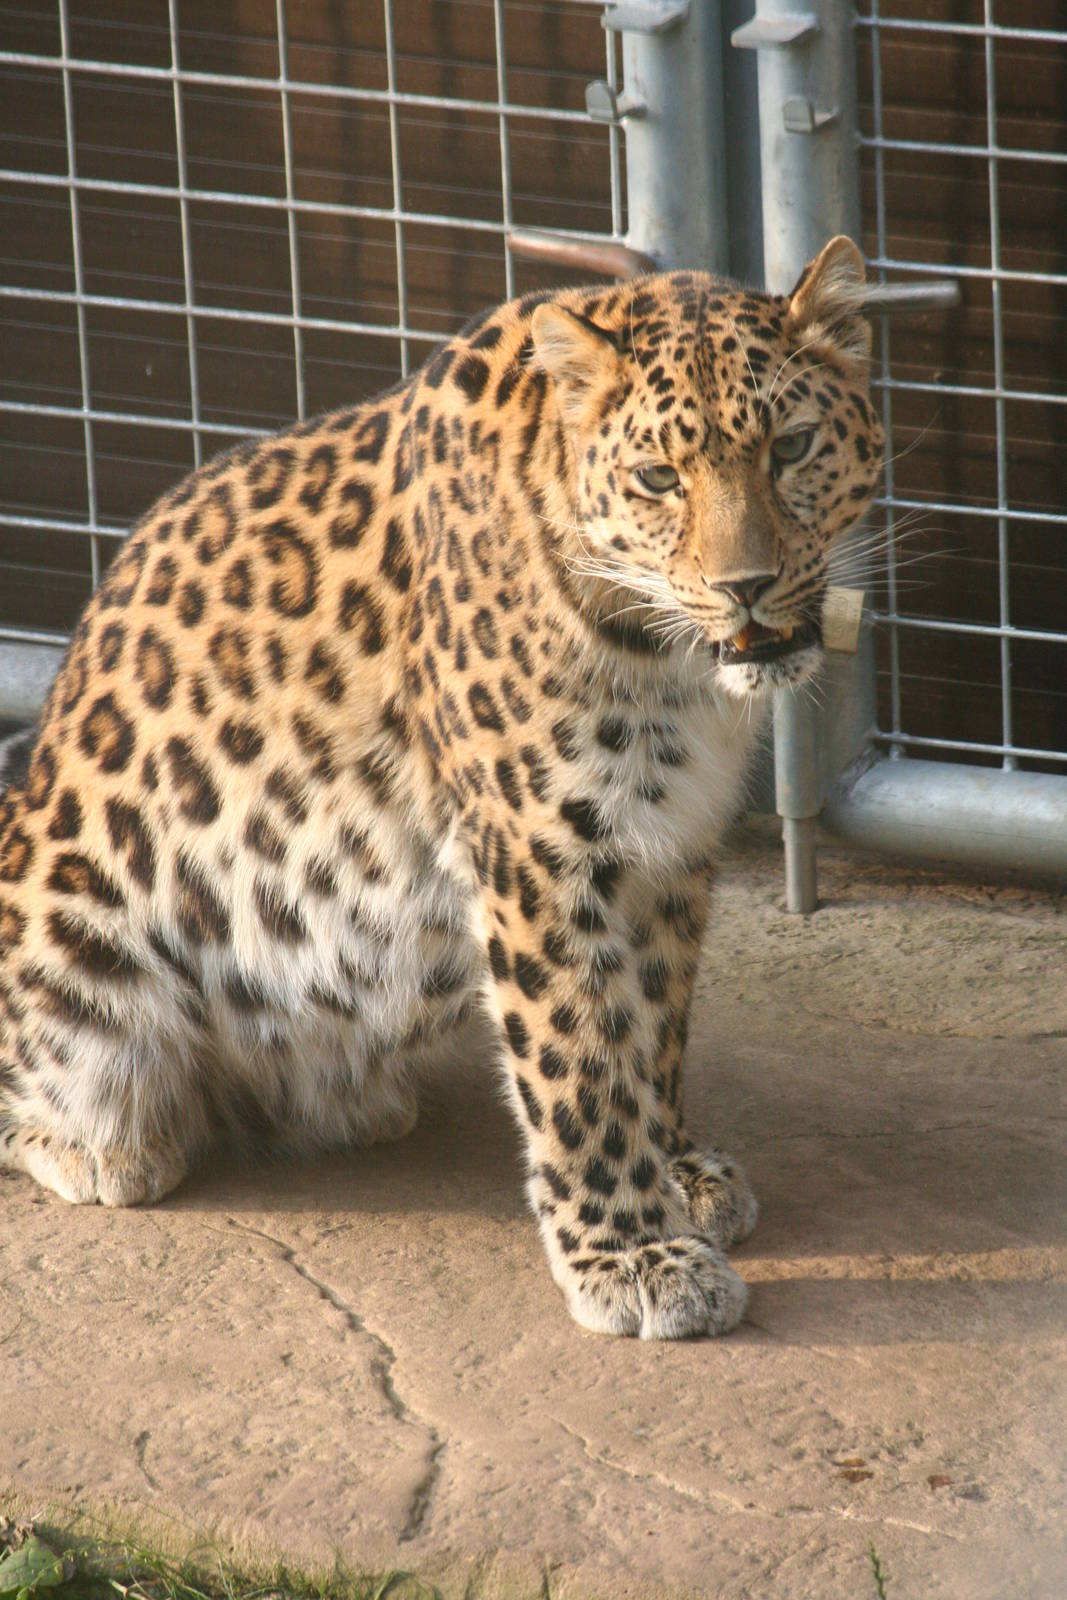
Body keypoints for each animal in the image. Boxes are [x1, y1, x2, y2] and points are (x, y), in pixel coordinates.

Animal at [0, 235, 884, 1340]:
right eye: (657, 477)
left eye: (792, 448)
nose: (746, 588)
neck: (664, 659)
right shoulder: (539, 852)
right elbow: (579, 1064)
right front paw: (630, 1252)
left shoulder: (668, 844)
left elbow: (650, 1027)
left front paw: (677, 1173)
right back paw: (105, 1146)